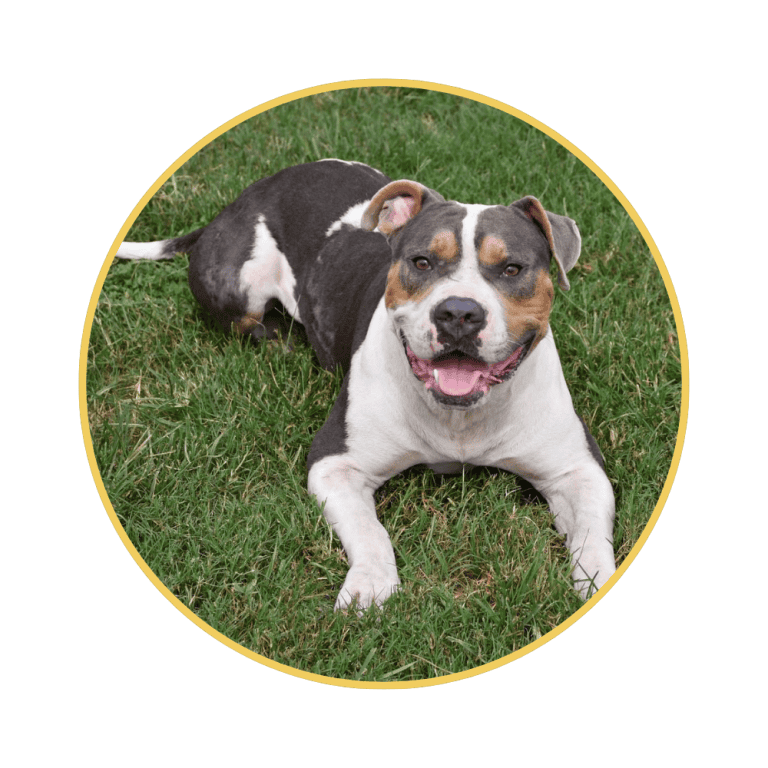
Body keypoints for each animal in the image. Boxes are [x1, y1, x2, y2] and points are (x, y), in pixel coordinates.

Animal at [115, 160, 616, 612]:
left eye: (512, 269)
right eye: (421, 262)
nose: (458, 312)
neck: (459, 418)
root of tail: (242, 199)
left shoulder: (577, 470)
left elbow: (593, 536)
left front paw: (597, 582)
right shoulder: (336, 464)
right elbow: (370, 531)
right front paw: (370, 587)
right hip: (237, 285)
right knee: (249, 322)